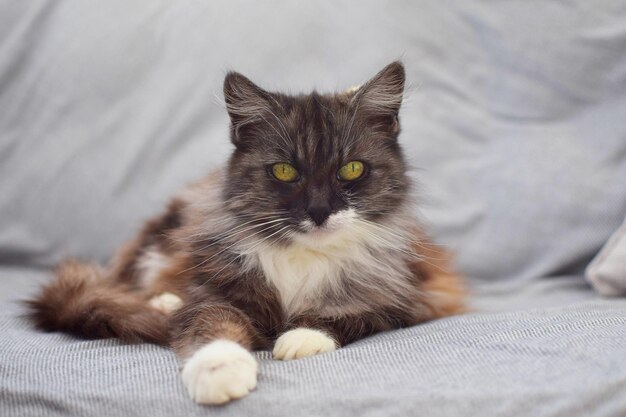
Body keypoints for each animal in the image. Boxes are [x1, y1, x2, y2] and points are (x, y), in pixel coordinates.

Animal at [28, 61, 464, 404]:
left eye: (352, 169)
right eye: (284, 171)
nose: (319, 211)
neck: (303, 257)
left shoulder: (411, 298)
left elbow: (351, 315)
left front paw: (300, 338)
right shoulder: (213, 293)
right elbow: (212, 326)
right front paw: (220, 372)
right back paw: (165, 303)